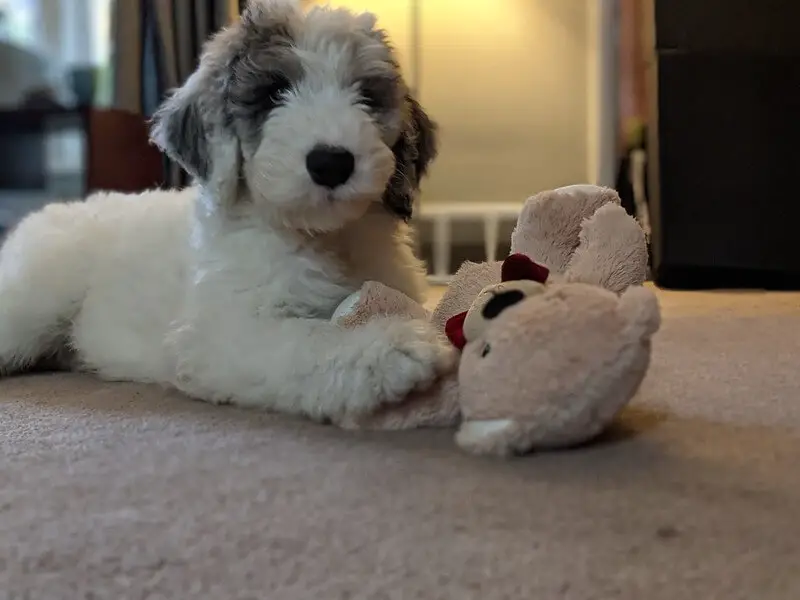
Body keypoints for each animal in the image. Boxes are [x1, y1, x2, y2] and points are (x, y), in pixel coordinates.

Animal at [0, 0, 454, 422]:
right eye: (273, 92)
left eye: (366, 95)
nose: (331, 163)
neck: (324, 237)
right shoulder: (221, 332)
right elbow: (305, 340)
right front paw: (393, 347)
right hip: (34, 304)